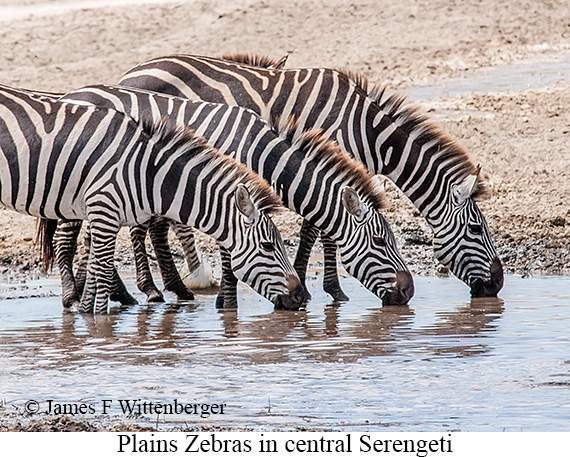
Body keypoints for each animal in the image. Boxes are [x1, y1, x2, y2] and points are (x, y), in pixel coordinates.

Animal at [0, 83, 304, 312]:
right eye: (267, 246)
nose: (302, 296)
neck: (145, 171)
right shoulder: (104, 208)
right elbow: (101, 271)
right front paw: (98, 327)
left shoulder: (103, 215)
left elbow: (96, 270)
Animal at [44, 83, 410, 306]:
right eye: (381, 242)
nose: (409, 291)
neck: (262, 154)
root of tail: (74, 92)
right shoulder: (227, 195)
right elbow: (230, 255)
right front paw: (228, 306)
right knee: (68, 237)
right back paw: (74, 296)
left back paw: (117, 295)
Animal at [118, 53, 502, 298]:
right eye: (477, 229)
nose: (498, 284)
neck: (368, 132)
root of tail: (130, 72)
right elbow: (319, 231)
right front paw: (331, 288)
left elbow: (317, 227)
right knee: (141, 225)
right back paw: (152, 289)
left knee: (153, 224)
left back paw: (173, 287)